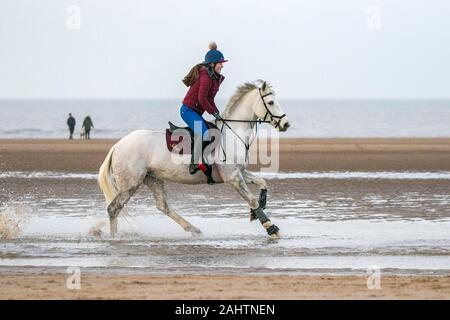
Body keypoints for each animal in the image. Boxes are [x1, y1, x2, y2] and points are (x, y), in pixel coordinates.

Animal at [96, 80, 290, 238]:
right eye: (271, 102)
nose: (286, 124)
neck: (233, 133)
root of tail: (118, 145)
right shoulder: (233, 177)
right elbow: (252, 200)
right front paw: (271, 228)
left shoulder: (239, 172)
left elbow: (263, 183)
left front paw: (256, 211)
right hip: (131, 183)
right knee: (114, 208)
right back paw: (114, 237)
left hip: (152, 179)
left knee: (162, 206)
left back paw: (193, 229)